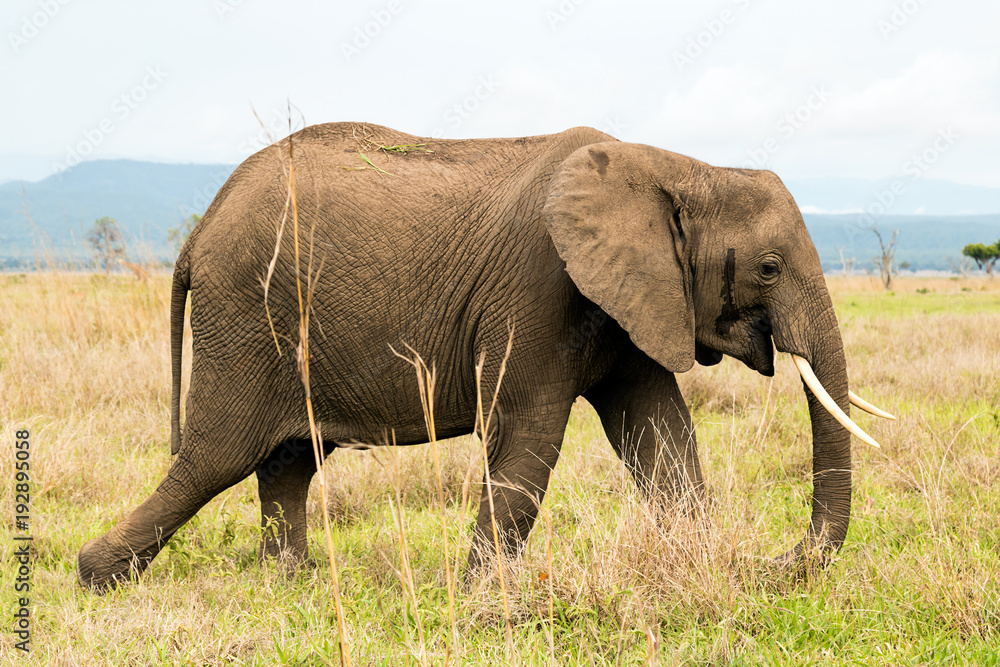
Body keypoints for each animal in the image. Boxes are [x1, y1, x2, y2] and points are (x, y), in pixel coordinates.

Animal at [77, 122, 893, 592]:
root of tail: (201, 227)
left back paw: (294, 581)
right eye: (769, 269)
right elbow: (527, 437)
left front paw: (703, 564)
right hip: (248, 314)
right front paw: (482, 595)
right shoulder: (540, 284)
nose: (775, 563)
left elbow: (660, 434)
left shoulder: (629, 294)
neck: (675, 165)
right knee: (215, 456)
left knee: (286, 459)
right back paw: (96, 576)